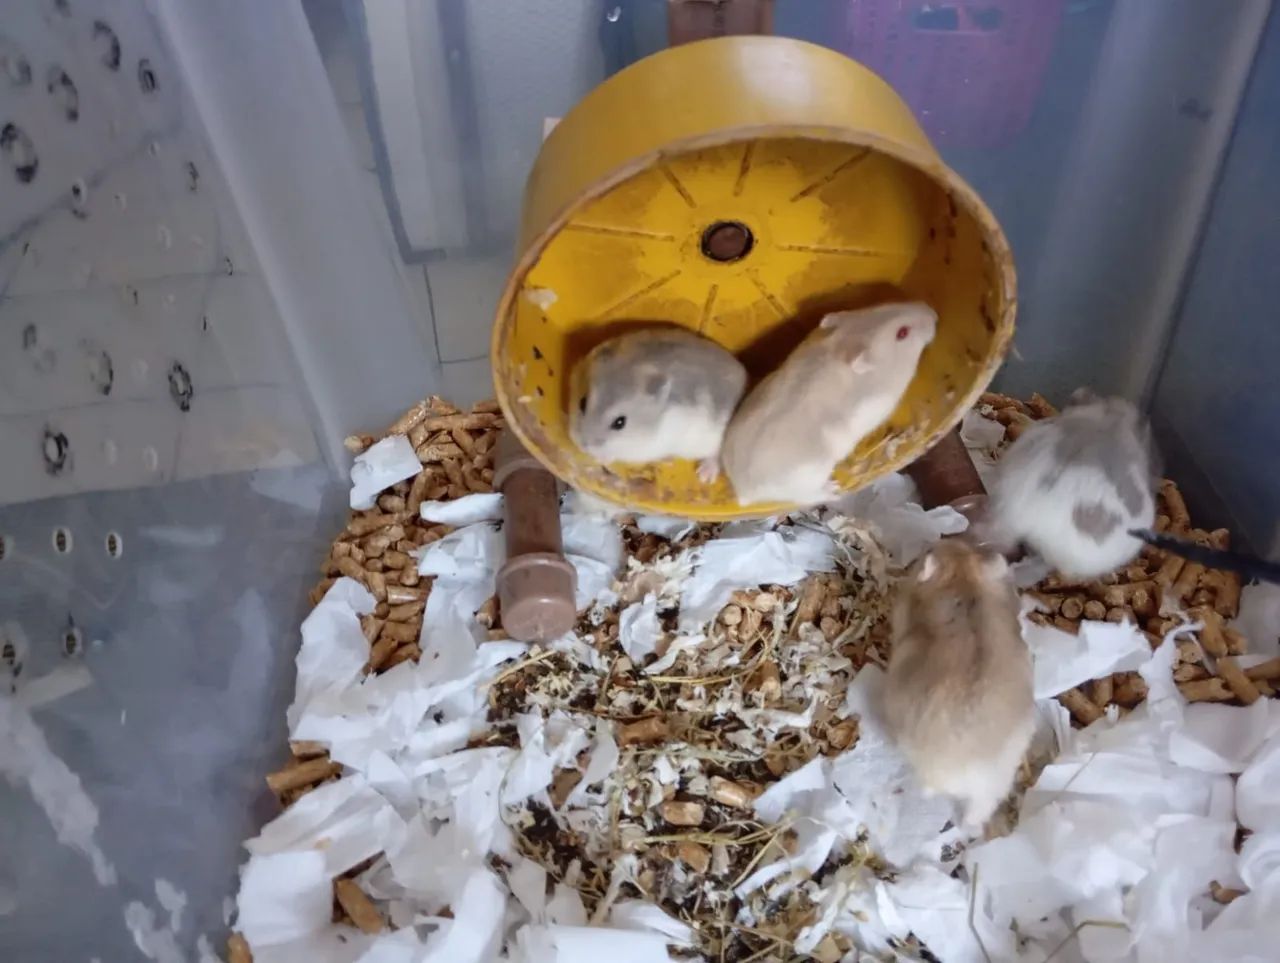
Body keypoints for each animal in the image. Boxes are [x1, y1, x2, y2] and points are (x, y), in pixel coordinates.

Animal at [568, 327, 748, 481]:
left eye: (620, 423)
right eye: (582, 403)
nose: (584, 446)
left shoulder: (645, 448)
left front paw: (600, 458)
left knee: (716, 456)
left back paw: (704, 476)